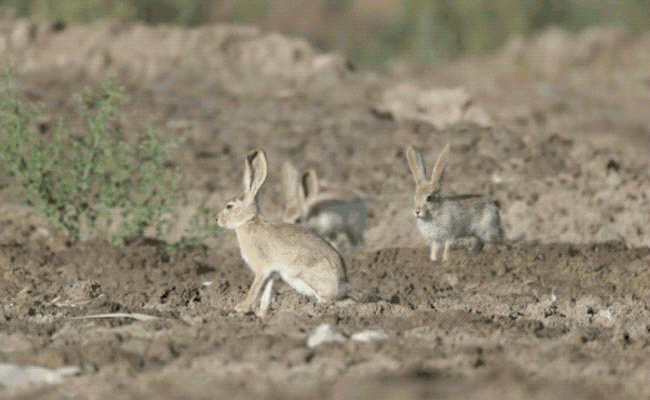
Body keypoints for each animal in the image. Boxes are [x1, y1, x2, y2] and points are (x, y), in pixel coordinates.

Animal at [217, 149, 348, 317]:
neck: (248, 221)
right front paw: (262, 313)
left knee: (326, 300)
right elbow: (266, 294)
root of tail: (343, 288)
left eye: (229, 206)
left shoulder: (261, 269)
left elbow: (254, 289)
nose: (216, 219)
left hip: (303, 278)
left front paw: (241, 308)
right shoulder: (271, 274)